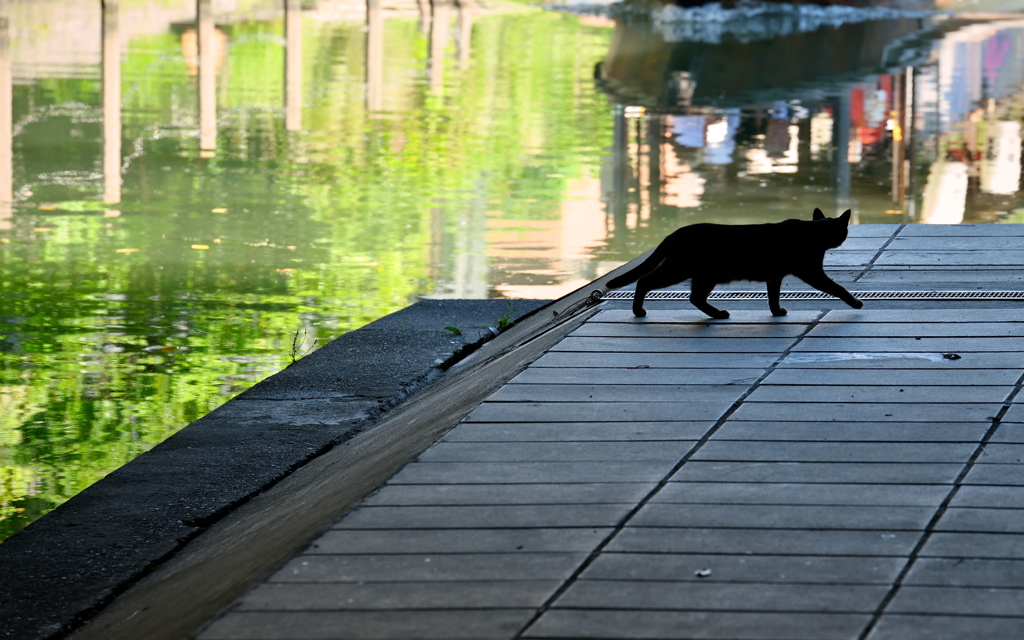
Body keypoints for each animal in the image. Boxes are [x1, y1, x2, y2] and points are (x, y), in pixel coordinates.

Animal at [606, 208, 864, 317]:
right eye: (844, 231)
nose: (844, 239)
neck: (813, 234)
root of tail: (673, 233)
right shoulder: (812, 272)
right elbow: (837, 288)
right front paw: (855, 303)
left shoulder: (774, 277)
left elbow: (773, 297)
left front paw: (777, 312)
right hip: (682, 270)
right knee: (644, 280)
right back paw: (639, 311)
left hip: (702, 276)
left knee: (695, 297)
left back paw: (717, 314)